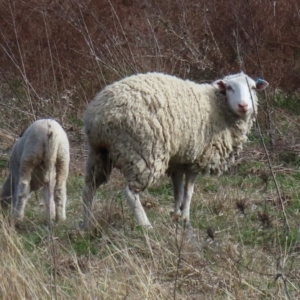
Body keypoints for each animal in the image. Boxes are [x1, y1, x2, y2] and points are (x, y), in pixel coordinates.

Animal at [81, 71, 268, 229]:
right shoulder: (197, 159)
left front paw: (176, 217)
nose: (243, 105)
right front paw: (185, 219)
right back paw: (146, 227)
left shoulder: (179, 159)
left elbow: (178, 189)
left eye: (253, 87)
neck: (219, 107)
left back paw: (85, 225)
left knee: (89, 187)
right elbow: (188, 192)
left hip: (99, 152)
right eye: (229, 88)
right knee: (130, 193)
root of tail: (99, 115)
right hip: (144, 153)